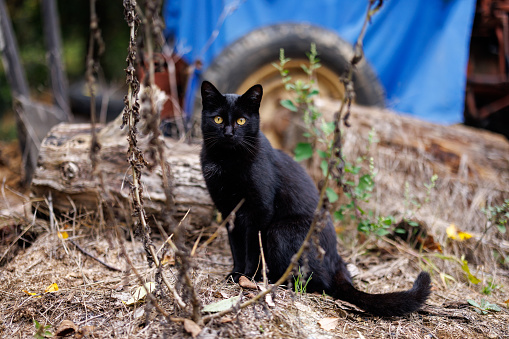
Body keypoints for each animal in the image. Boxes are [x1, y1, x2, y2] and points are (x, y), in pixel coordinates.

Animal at [198, 81, 428, 318]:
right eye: (218, 119)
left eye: (241, 121)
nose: (228, 133)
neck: (227, 161)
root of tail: (337, 260)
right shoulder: (228, 211)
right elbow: (236, 248)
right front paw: (235, 274)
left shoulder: (259, 211)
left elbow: (253, 249)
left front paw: (248, 278)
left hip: (279, 231)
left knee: (317, 282)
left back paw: (277, 281)